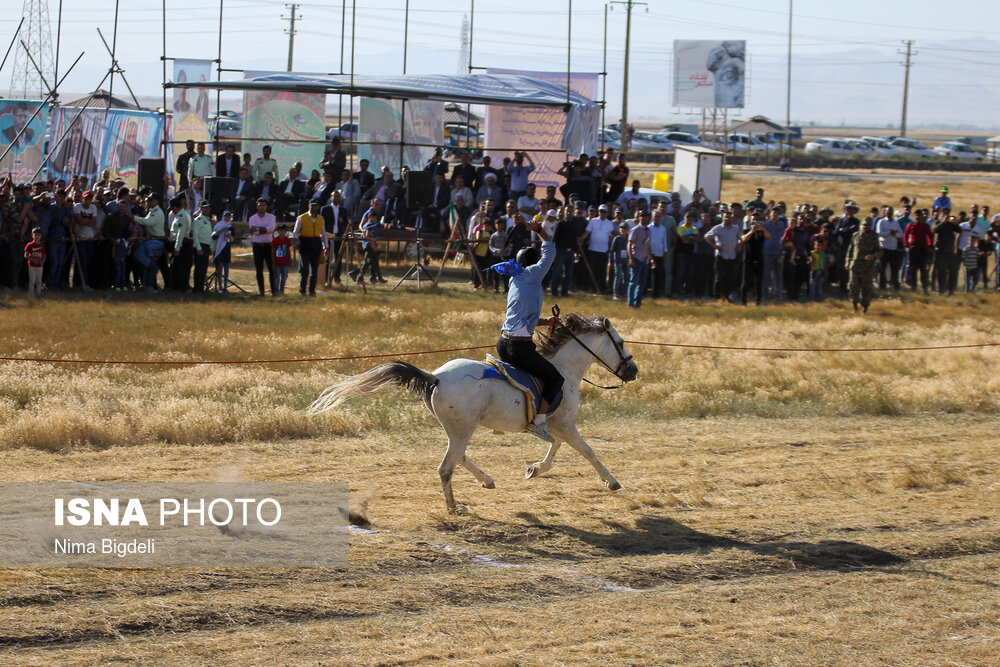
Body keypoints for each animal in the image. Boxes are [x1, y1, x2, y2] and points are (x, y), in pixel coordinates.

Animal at [304, 314, 640, 516]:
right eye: (621, 343)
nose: (633, 371)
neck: (564, 370)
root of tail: (436, 377)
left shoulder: (556, 425)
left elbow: (557, 447)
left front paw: (534, 469)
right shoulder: (564, 423)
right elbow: (586, 450)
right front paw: (611, 482)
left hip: (458, 428)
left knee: (459, 456)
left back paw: (486, 481)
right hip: (463, 428)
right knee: (446, 467)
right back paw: (454, 507)